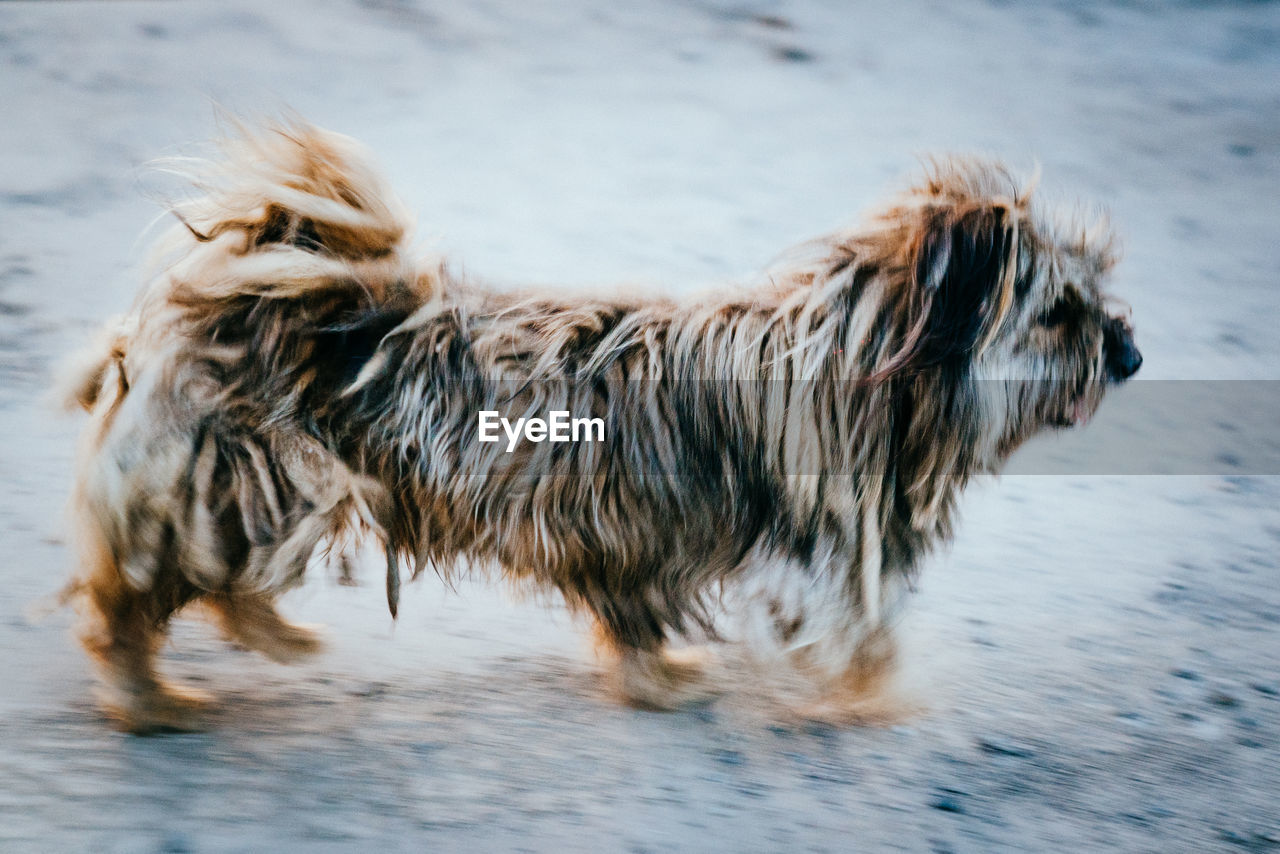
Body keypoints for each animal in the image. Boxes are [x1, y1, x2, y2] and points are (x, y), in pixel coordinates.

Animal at [62, 121, 1141, 737]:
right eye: (1059, 313)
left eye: (1096, 300)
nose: (1130, 354)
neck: (863, 357)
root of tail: (261, 291)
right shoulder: (815, 554)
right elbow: (861, 637)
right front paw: (878, 701)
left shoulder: (624, 535)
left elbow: (635, 619)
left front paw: (660, 680)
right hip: (245, 485)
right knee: (131, 602)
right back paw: (154, 697)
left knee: (188, 587)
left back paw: (265, 637)